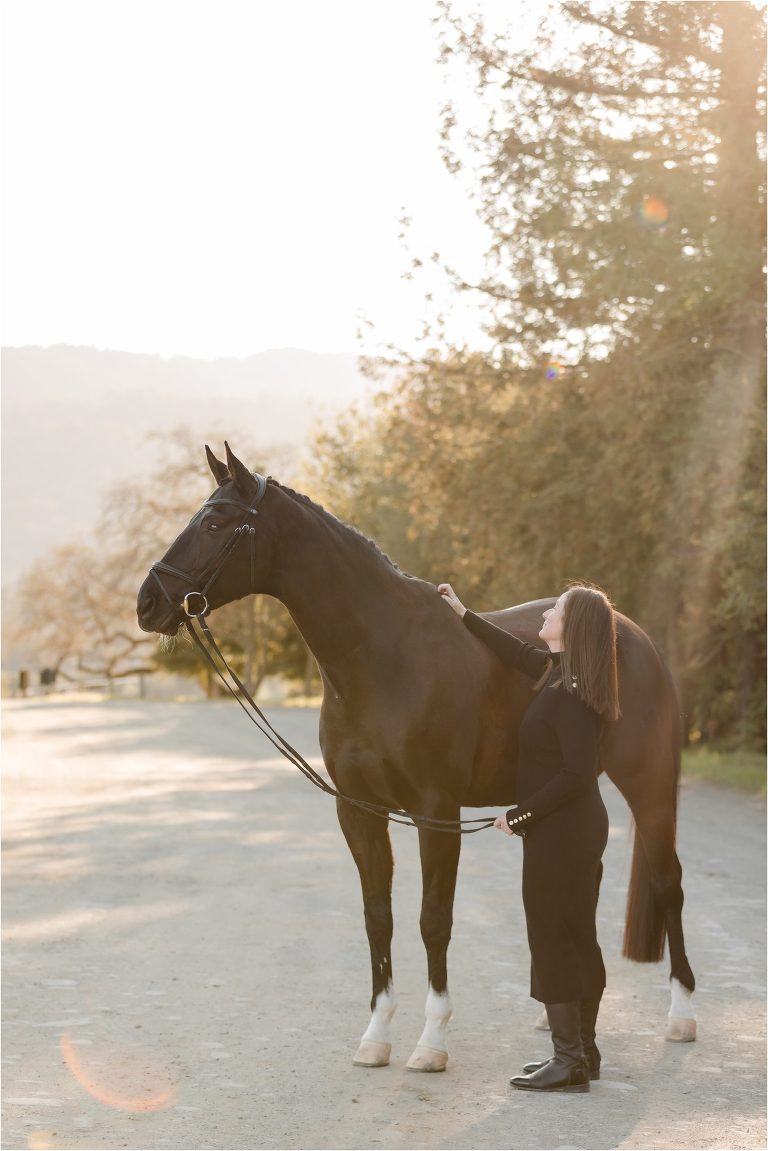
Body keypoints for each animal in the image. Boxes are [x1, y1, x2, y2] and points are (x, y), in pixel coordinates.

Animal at [136, 442, 696, 1072]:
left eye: (215, 523)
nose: (147, 602)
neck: (382, 655)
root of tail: (630, 632)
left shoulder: (437, 811)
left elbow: (433, 920)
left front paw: (431, 1041)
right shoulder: (359, 811)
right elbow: (378, 917)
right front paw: (376, 1034)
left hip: (648, 787)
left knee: (667, 884)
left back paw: (681, 1016)